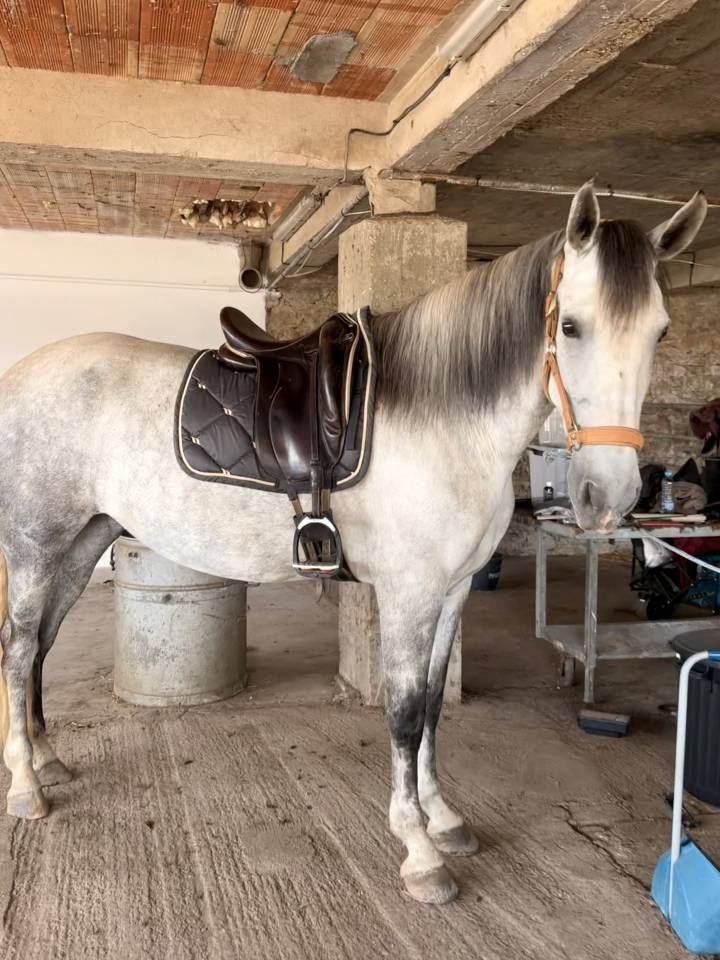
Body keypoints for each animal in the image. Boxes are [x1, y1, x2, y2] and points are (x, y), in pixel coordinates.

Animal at [0, 182, 706, 905]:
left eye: (660, 330)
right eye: (571, 326)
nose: (608, 496)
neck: (445, 419)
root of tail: (21, 374)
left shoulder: (453, 591)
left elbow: (433, 706)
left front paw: (443, 817)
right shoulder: (409, 593)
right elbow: (404, 711)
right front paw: (419, 851)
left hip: (83, 543)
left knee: (42, 645)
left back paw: (48, 759)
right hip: (34, 546)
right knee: (19, 648)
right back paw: (26, 785)